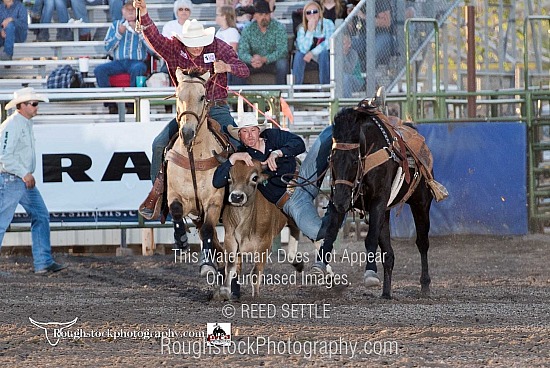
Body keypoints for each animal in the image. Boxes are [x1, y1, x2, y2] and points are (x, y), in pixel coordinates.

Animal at [166, 68, 231, 276]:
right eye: (178, 95)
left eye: (202, 96)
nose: (187, 133)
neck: (193, 155)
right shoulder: (175, 195)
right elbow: (176, 211)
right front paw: (181, 243)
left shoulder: (214, 201)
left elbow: (208, 229)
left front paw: (207, 264)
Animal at [322, 98, 450, 300]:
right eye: (331, 159)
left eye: (354, 161)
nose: (342, 201)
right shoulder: (340, 196)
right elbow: (330, 231)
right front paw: (321, 267)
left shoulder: (378, 202)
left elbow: (370, 239)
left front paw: (370, 274)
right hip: (385, 212)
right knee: (389, 253)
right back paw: (386, 292)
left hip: (420, 203)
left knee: (422, 242)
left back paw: (424, 285)